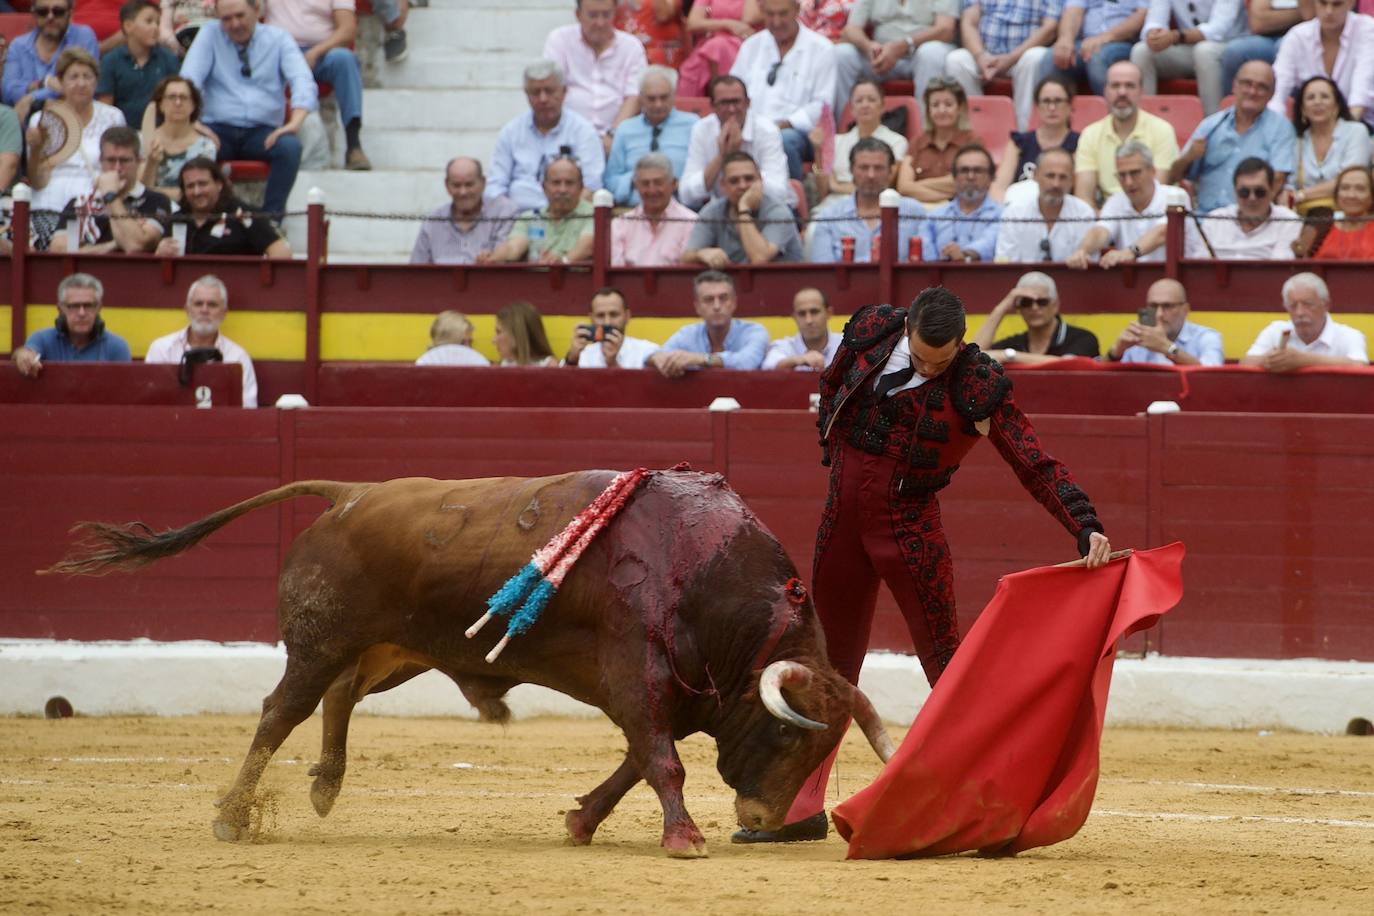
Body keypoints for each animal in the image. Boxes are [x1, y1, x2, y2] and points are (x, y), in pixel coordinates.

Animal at [45, 472, 890, 862]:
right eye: (791, 737)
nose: (764, 822)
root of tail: (348, 493)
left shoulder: (668, 695)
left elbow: (632, 764)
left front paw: (581, 821)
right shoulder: (637, 676)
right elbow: (659, 762)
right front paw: (683, 838)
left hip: (392, 650)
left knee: (340, 697)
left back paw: (324, 787)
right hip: (320, 641)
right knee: (281, 711)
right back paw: (233, 814)